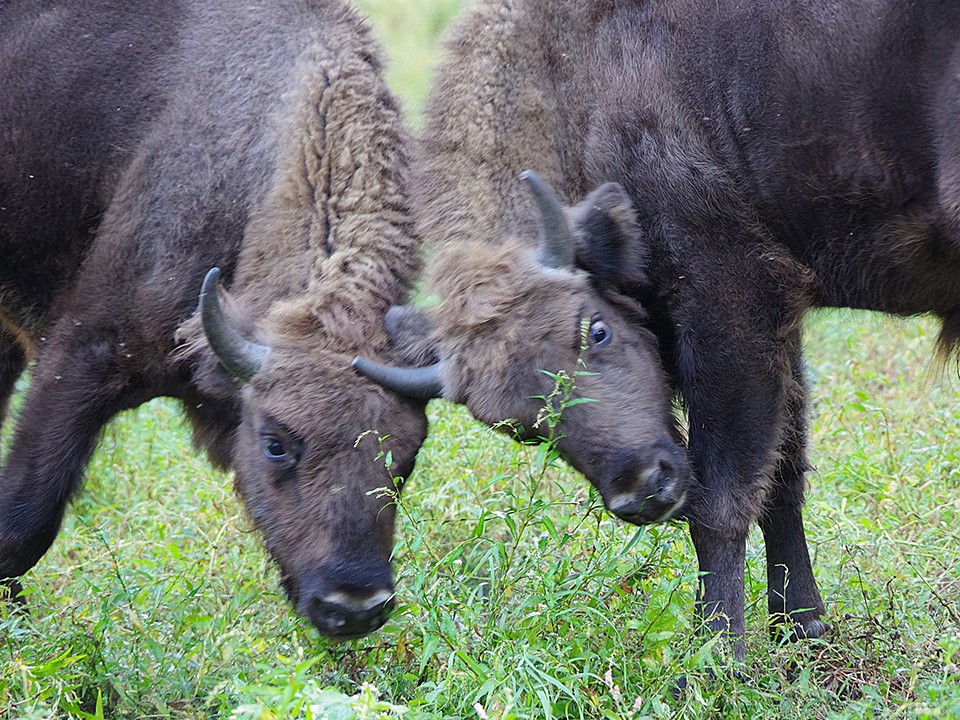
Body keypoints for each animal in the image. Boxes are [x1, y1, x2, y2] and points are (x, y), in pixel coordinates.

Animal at [352, 0, 960, 660]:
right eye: (519, 428)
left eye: (596, 331)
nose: (641, 491)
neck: (576, 79)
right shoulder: (781, 326)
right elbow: (783, 477)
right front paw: (802, 630)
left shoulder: (730, 304)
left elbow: (720, 501)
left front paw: (714, 655)